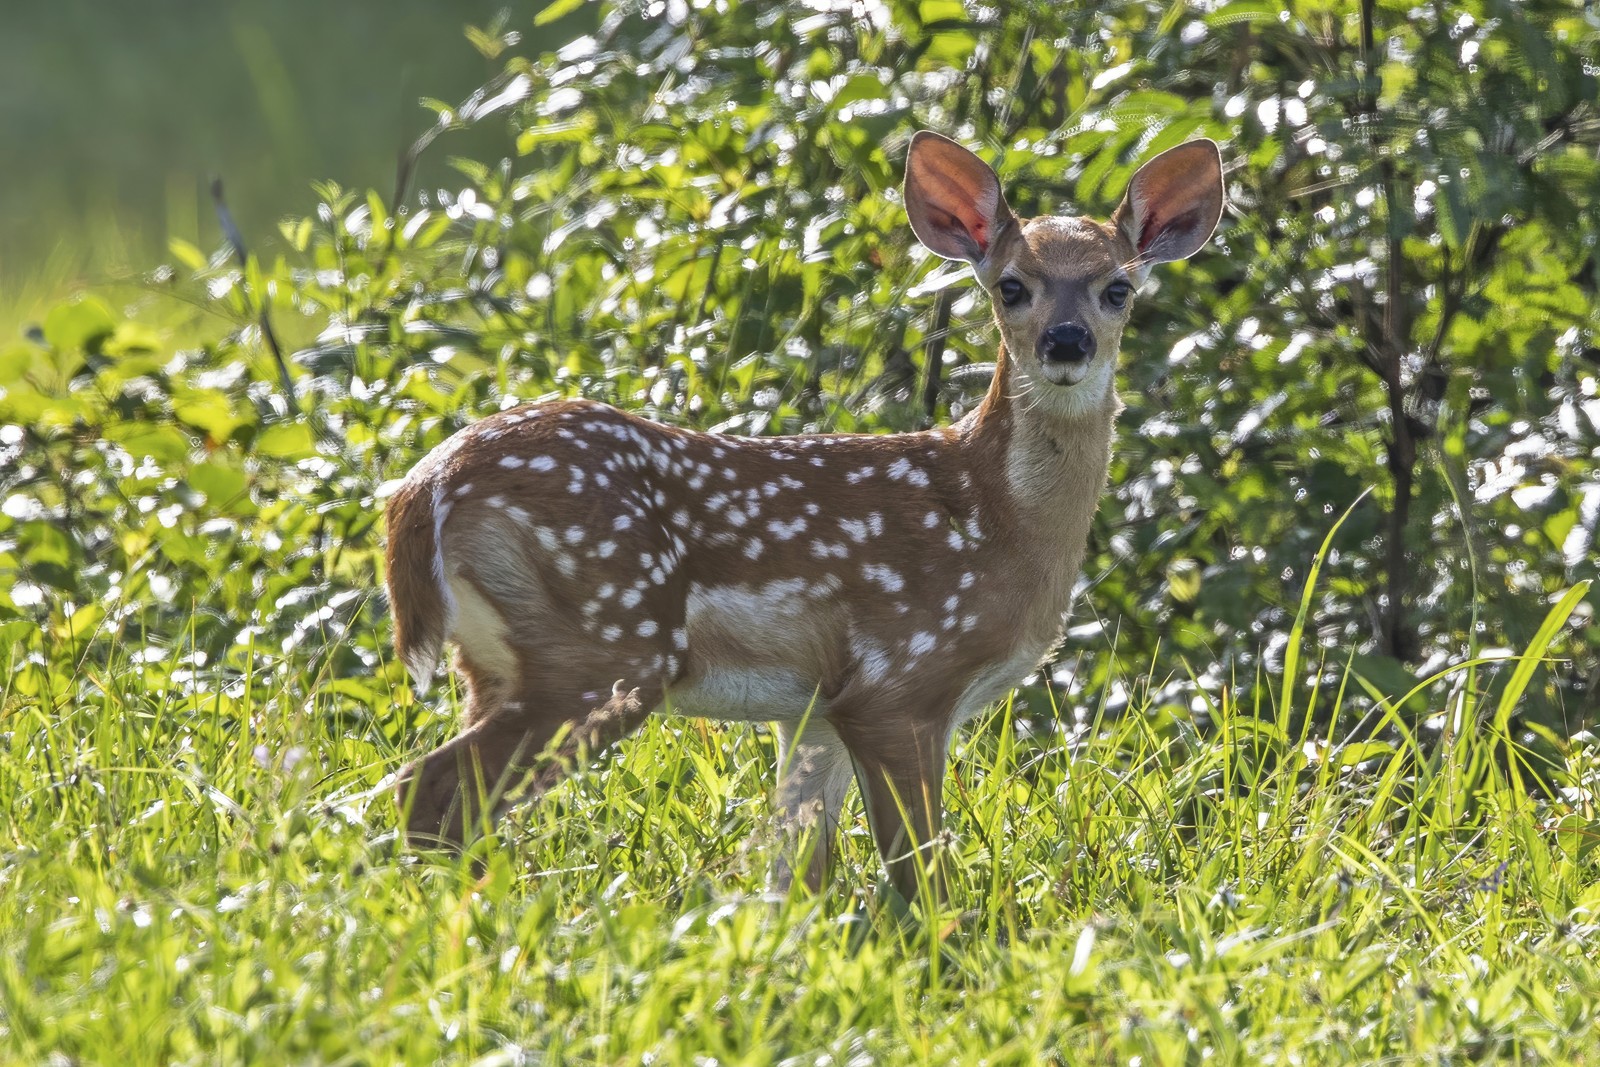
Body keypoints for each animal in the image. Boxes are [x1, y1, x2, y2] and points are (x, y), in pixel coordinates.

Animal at [387, 133, 1222, 902]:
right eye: (1012, 285)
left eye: (1118, 288)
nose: (1067, 342)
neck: (999, 521)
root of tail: (426, 486)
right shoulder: (899, 681)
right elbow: (921, 875)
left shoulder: (815, 709)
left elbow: (793, 874)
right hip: (603, 645)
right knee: (429, 790)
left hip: (500, 658)